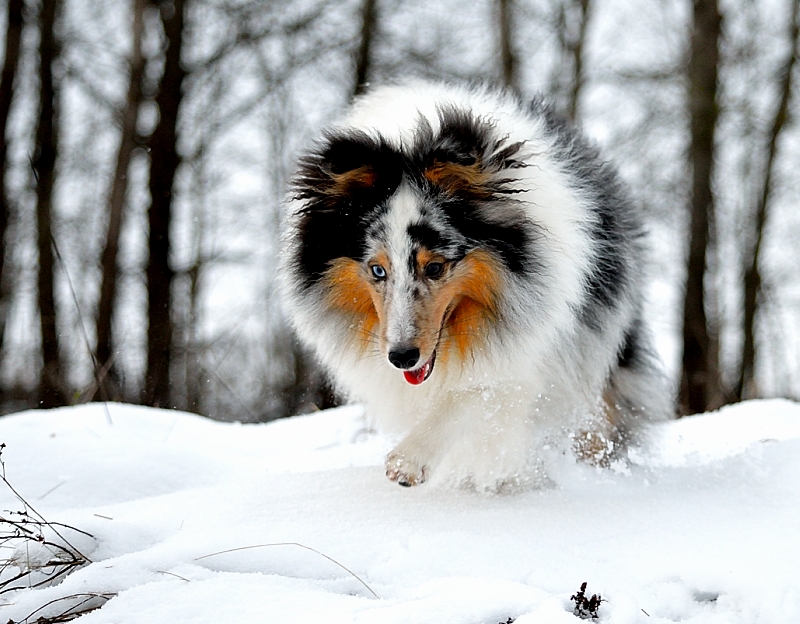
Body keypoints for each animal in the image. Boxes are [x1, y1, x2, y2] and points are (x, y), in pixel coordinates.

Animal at [280, 80, 668, 490]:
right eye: (377, 270)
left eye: (435, 267)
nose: (401, 357)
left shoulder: (530, 349)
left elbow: (473, 395)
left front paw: (408, 462)